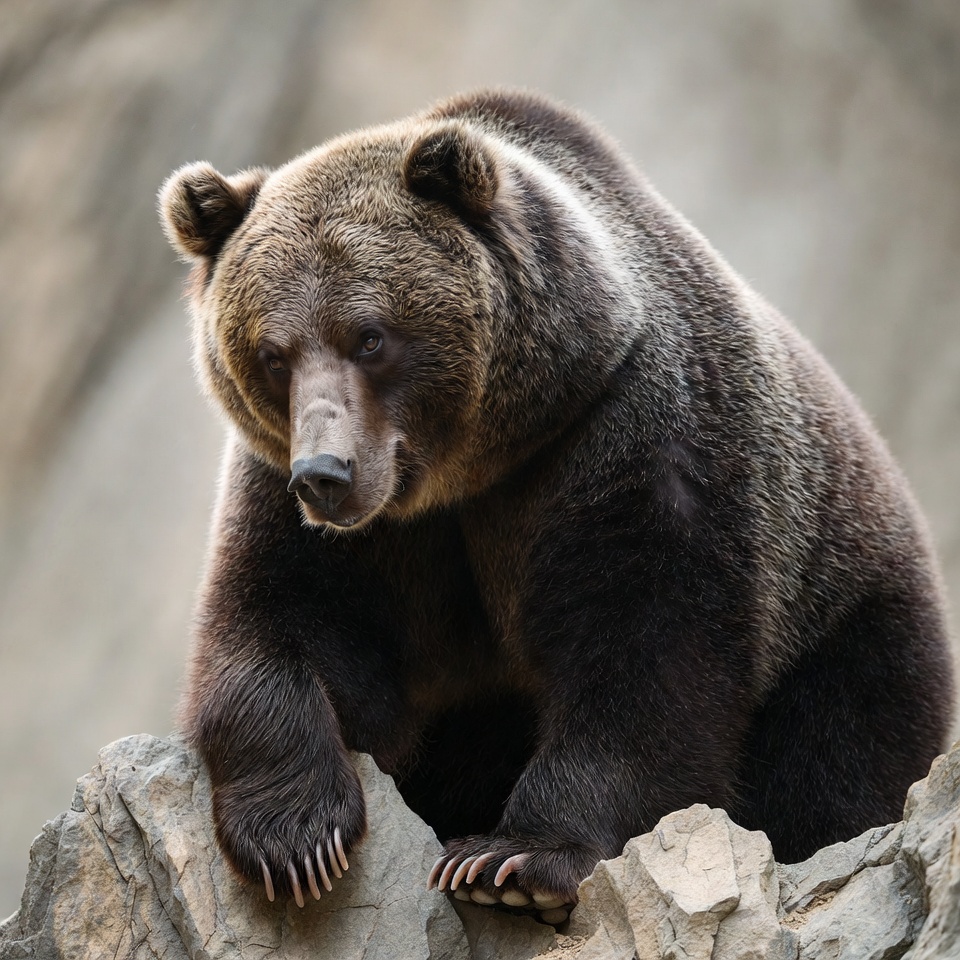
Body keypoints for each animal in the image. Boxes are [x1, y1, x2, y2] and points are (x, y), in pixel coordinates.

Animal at [159, 89, 955, 916]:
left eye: (370, 337)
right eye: (272, 353)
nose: (326, 473)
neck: (477, 468)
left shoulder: (635, 447)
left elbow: (646, 662)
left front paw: (509, 860)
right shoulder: (315, 508)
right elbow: (280, 623)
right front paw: (297, 838)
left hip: (846, 614)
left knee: (838, 759)